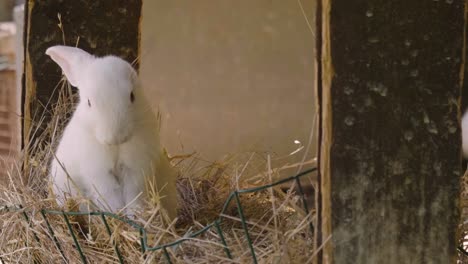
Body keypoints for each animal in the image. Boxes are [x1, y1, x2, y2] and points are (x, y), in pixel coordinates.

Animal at [46, 45, 177, 219]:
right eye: (89, 102)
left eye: (132, 96)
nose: (115, 137)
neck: (116, 148)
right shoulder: (99, 173)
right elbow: (110, 193)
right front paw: (116, 213)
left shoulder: (135, 169)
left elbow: (133, 194)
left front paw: (134, 215)